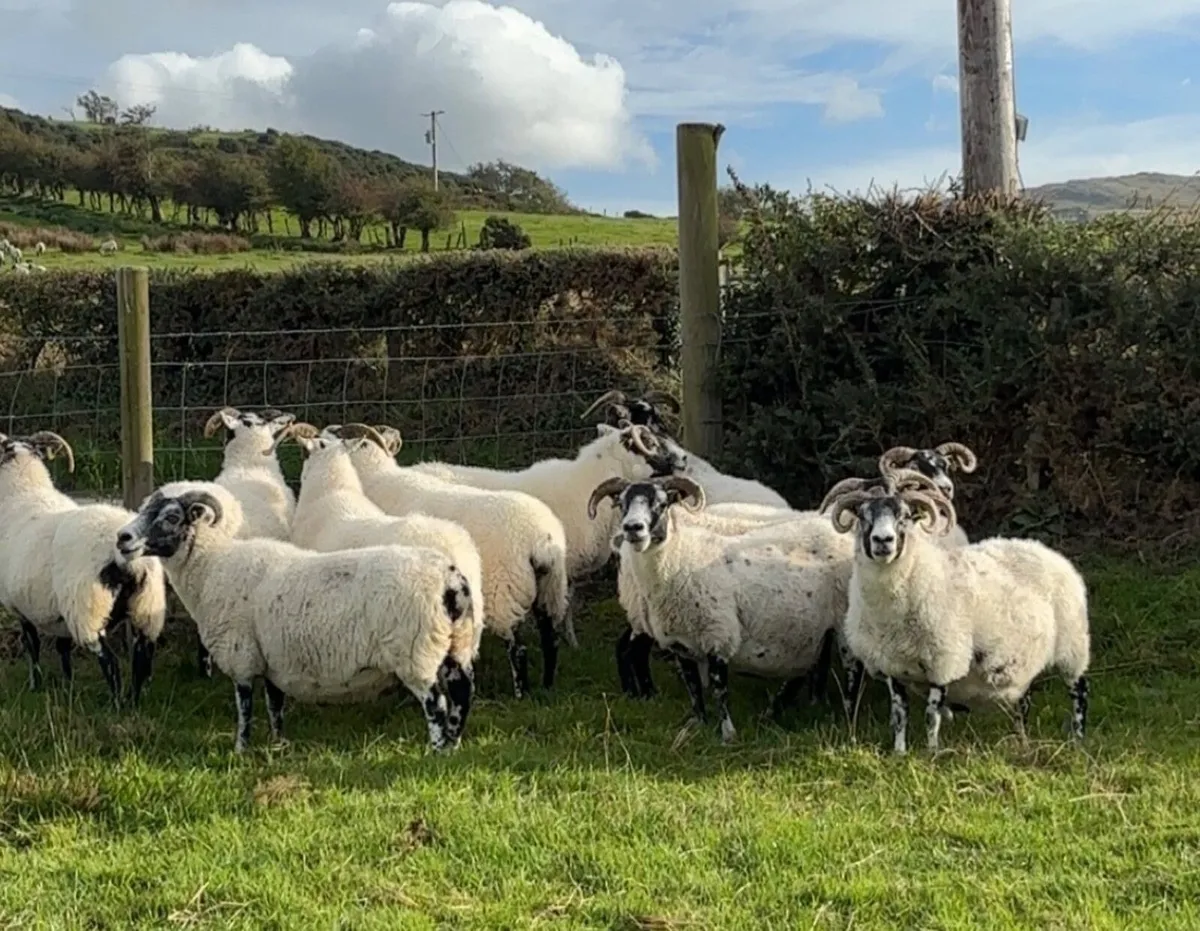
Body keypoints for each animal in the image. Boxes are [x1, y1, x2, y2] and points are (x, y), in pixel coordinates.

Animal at [0, 431, 167, 705]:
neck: (22, 492)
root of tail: (130, 557)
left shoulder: (21, 608)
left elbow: (32, 646)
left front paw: (36, 685)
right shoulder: (57, 612)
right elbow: (62, 648)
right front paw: (67, 685)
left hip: (87, 610)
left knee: (110, 662)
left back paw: (116, 706)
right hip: (147, 608)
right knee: (142, 660)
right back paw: (134, 703)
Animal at [116, 481, 478, 752]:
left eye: (172, 517)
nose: (123, 538)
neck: (211, 566)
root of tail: (451, 580)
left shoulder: (241, 655)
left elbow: (244, 708)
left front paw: (240, 750)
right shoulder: (273, 659)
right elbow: (275, 706)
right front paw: (278, 747)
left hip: (416, 653)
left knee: (436, 703)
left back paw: (436, 750)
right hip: (456, 646)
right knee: (462, 693)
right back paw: (453, 746)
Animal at [327, 423, 571, 699]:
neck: (376, 477)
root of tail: (542, 537)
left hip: (504, 593)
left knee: (518, 648)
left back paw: (522, 694)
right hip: (551, 585)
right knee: (550, 637)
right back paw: (547, 687)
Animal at [589, 474, 844, 744]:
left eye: (662, 504)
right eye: (621, 504)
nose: (633, 528)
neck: (681, 555)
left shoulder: (717, 635)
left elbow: (718, 687)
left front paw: (726, 733)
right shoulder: (683, 641)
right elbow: (694, 687)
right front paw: (703, 725)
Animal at [826, 469, 1090, 754]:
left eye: (905, 516)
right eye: (863, 516)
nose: (883, 541)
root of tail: (1045, 550)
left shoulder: (944, 660)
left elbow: (932, 716)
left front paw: (932, 753)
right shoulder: (893, 667)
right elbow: (899, 715)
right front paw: (899, 752)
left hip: (1072, 645)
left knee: (1080, 690)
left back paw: (1078, 740)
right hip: (1024, 657)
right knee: (1024, 700)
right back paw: (1022, 742)